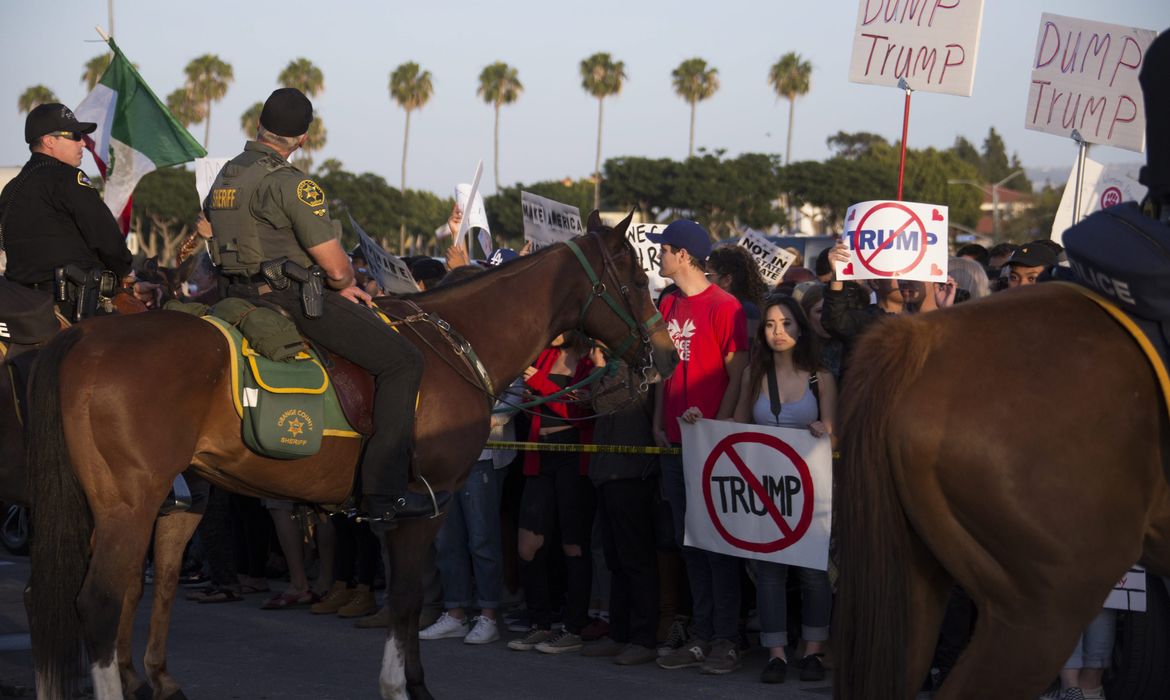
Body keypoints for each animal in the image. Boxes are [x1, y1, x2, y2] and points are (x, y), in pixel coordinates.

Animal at [22, 215, 678, 700]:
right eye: (634, 281)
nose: (669, 356)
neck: (454, 344)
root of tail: (81, 336)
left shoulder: (408, 514)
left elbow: (411, 601)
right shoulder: (425, 506)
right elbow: (408, 601)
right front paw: (404, 687)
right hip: (129, 505)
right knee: (100, 603)